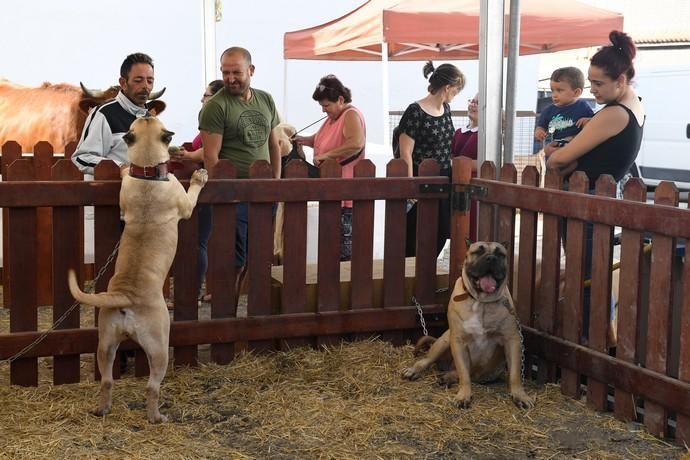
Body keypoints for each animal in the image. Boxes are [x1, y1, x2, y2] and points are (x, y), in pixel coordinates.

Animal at [67, 116, 207, 424]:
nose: (146, 113)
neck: (146, 171)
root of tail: (125, 297)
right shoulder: (186, 204)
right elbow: (192, 195)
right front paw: (199, 177)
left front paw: (121, 167)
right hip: (158, 345)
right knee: (151, 387)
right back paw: (156, 417)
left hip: (105, 344)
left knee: (107, 380)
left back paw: (103, 408)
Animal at [400, 241, 536, 410]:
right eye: (478, 251)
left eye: (500, 254)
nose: (491, 258)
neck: (482, 301)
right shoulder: (458, 340)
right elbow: (464, 374)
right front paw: (463, 395)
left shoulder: (512, 340)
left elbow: (515, 374)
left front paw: (520, 396)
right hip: (444, 342)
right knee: (427, 362)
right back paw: (414, 371)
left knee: (458, 372)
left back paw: (447, 377)